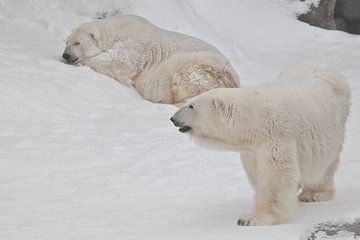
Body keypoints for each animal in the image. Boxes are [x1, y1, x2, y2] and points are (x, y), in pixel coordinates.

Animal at [63, 15, 240, 104]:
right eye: (67, 42)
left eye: (77, 43)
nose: (66, 55)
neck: (119, 28)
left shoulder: (135, 42)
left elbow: (120, 61)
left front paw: (85, 61)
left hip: (199, 66)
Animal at [171, 61, 352, 226]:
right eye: (187, 102)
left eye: (191, 106)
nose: (173, 118)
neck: (253, 120)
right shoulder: (252, 149)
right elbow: (257, 172)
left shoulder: (276, 137)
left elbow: (276, 176)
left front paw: (251, 218)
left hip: (334, 126)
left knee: (326, 164)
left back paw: (313, 193)